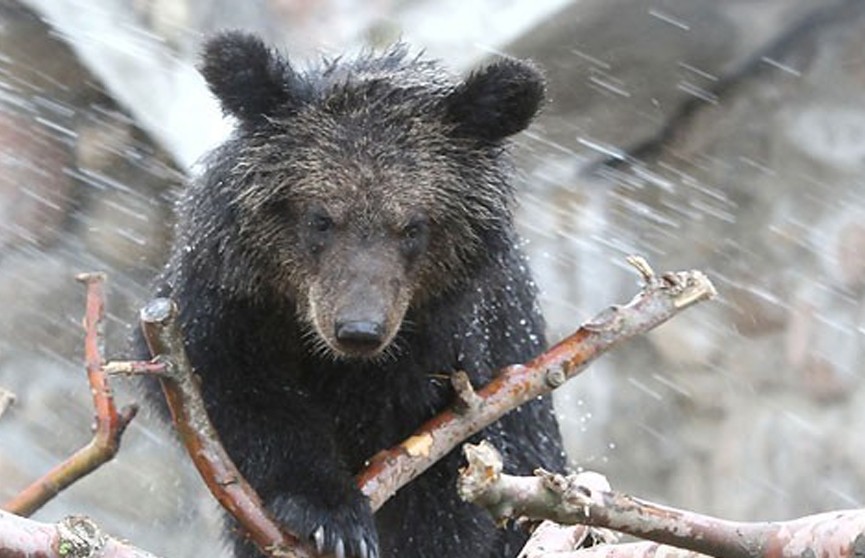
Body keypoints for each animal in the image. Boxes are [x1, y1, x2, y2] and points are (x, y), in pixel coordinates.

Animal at [135, 31, 568, 558]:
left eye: (413, 226)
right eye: (320, 218)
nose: (358, 330)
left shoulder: (452, 366)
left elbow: (447, 497)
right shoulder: (221, 306)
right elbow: (237, 395)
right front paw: (331, 515)